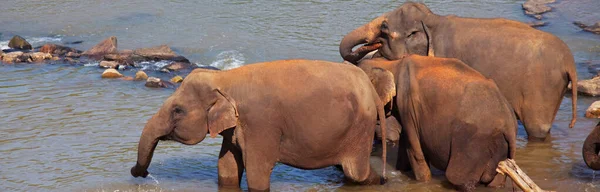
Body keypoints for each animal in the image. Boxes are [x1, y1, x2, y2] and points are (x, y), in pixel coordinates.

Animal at [129, 59, 392, 191]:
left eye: (177, 110)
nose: (140, 173)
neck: (225, 78)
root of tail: (370, 87)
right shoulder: (235, 127)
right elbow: (227, 167)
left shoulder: (260, 123)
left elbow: (257, 172)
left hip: (361, 127)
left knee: (356, 172)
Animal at [338, 1, 576, 140]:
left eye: (384, 28)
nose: (370, 47)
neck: (433, 20)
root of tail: (570, 63)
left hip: (542, 89)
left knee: (537, 129)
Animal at [358, 54, 516, 191]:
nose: (384, 179)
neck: (391, 64)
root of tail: (509, 124)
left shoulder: (408, 106)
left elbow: (415, 152)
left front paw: (424, 182)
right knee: (496, 182)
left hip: (474, 142)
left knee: (460, 179)